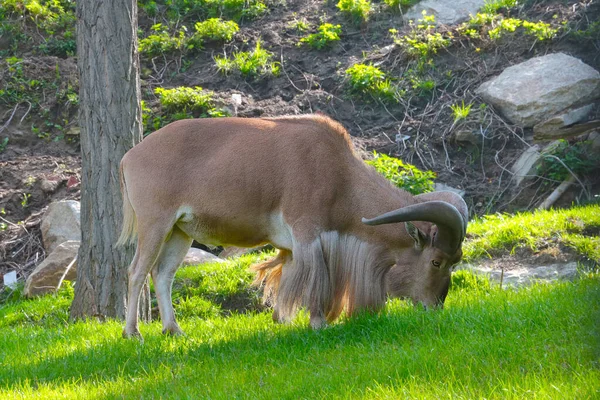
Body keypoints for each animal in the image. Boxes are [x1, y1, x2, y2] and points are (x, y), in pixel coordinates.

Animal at [116, 113, 464, 338]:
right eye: (436, 261)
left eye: (456, 260)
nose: (436, 306)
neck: (340, 177)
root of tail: (130, 156)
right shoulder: (307, 231)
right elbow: (314, 275)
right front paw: (317, 323)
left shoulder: (295, 244)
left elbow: (286, 274)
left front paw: (281, 319)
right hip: (155, 222)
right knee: (136, 271)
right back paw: (133, 333)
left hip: (180, 231)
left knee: (163, 274)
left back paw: (174, 330)